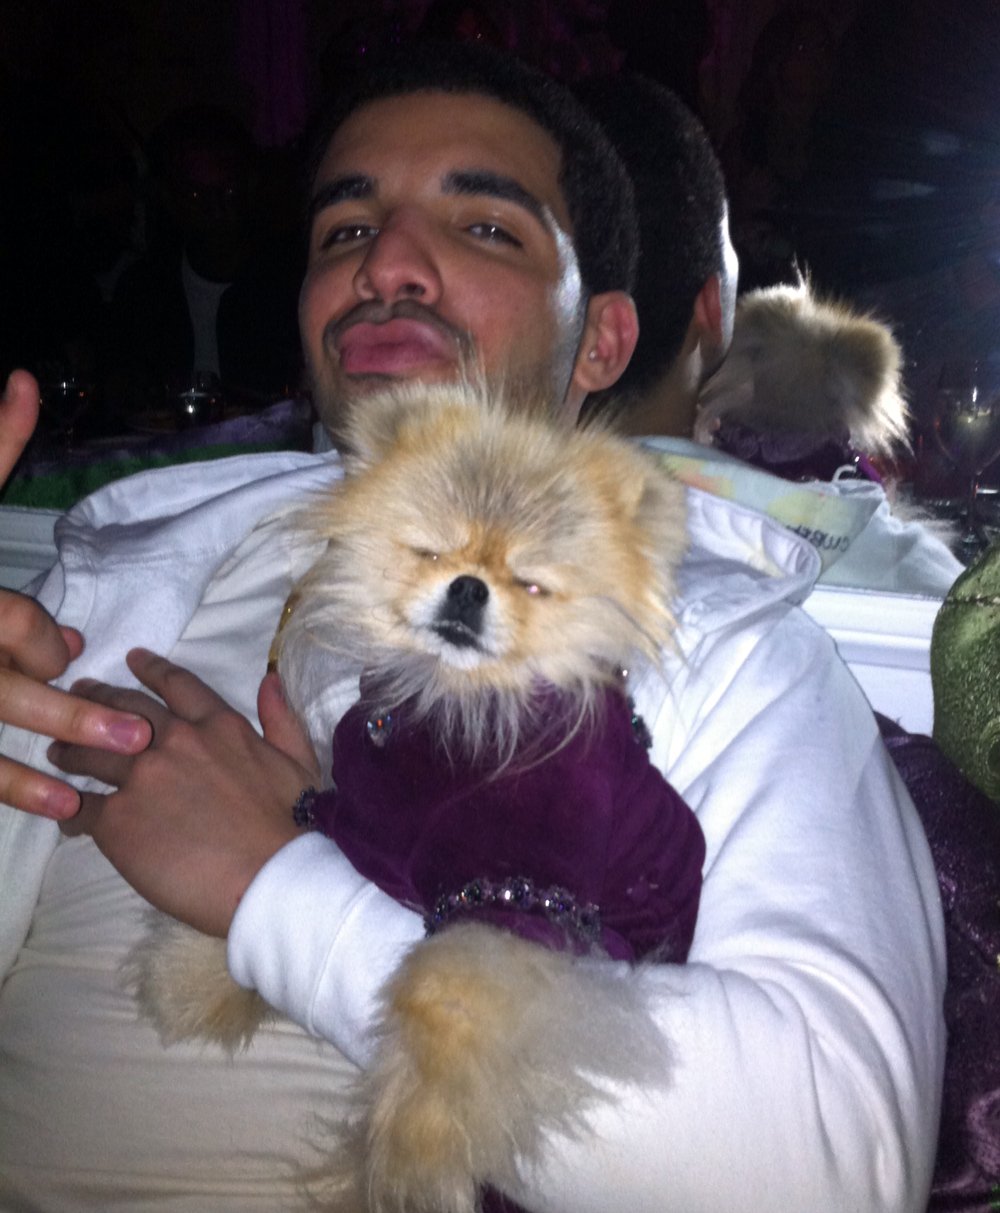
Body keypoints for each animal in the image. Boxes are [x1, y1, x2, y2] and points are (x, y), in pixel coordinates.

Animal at [132, 383, 703, 1213]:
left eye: (532, 583)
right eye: (431, 551)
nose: (469, 586)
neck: (452, 707)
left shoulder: (519, 900)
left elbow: (441, 997)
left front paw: (415, 1151)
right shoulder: (356, 816)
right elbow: (288, 853)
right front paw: (196, 970)